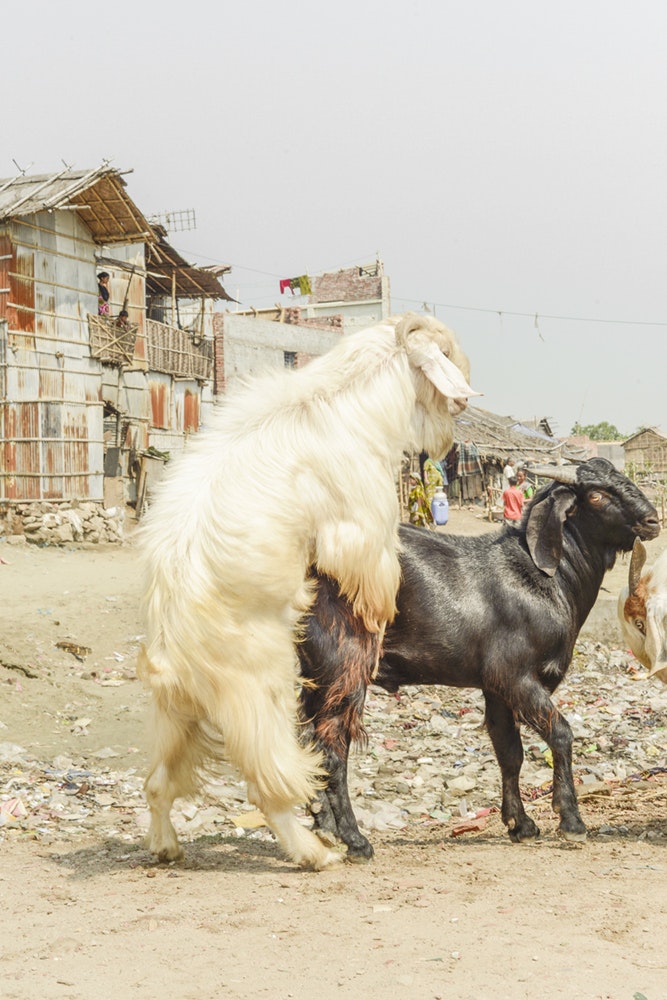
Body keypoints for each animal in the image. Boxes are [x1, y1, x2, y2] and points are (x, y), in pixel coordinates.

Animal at [138, 310, 478, 868]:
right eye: (444, 353)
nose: (463, 402)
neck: (342, 400)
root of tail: (173, 654)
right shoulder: (360, 529)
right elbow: (367, 567)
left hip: (177, 713)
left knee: (158, 782)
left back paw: (166, 845)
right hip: (257, 692)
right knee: (269, 784)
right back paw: (315, 852)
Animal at [300, 460, 660, 860]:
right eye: (596, 495)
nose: (653, 520)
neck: (542, 579)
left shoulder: (496, 688)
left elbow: (510, 752)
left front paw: (521, 825)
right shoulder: (515, 676)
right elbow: (561, 734)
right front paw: (571, 821)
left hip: (315, 673)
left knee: (310, 742)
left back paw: (324, 827)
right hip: (344, 666)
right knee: (334, 749)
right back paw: (355, 839)